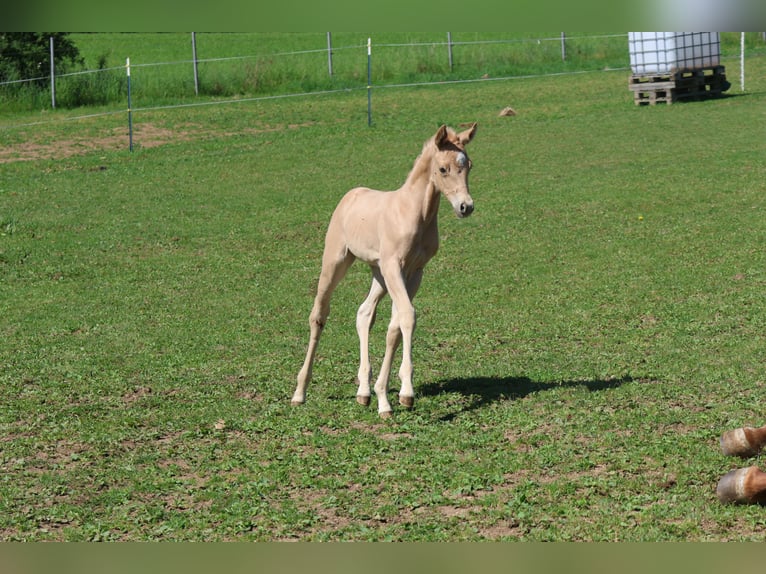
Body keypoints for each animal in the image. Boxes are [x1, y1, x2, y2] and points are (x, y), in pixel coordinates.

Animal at [291, 123, 478, 417]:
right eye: (443, 169)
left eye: (468, 165)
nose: (465, 207)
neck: (414, 214)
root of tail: (351, 195)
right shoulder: (394, 267)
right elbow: (408, 317)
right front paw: (403, 394)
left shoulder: (414, 271)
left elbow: (395, 326)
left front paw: (386, 394)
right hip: (336, 262)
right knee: (318, 315)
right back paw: (300, 392)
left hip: (378, 274)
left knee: (364, 313)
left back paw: (363, 392)